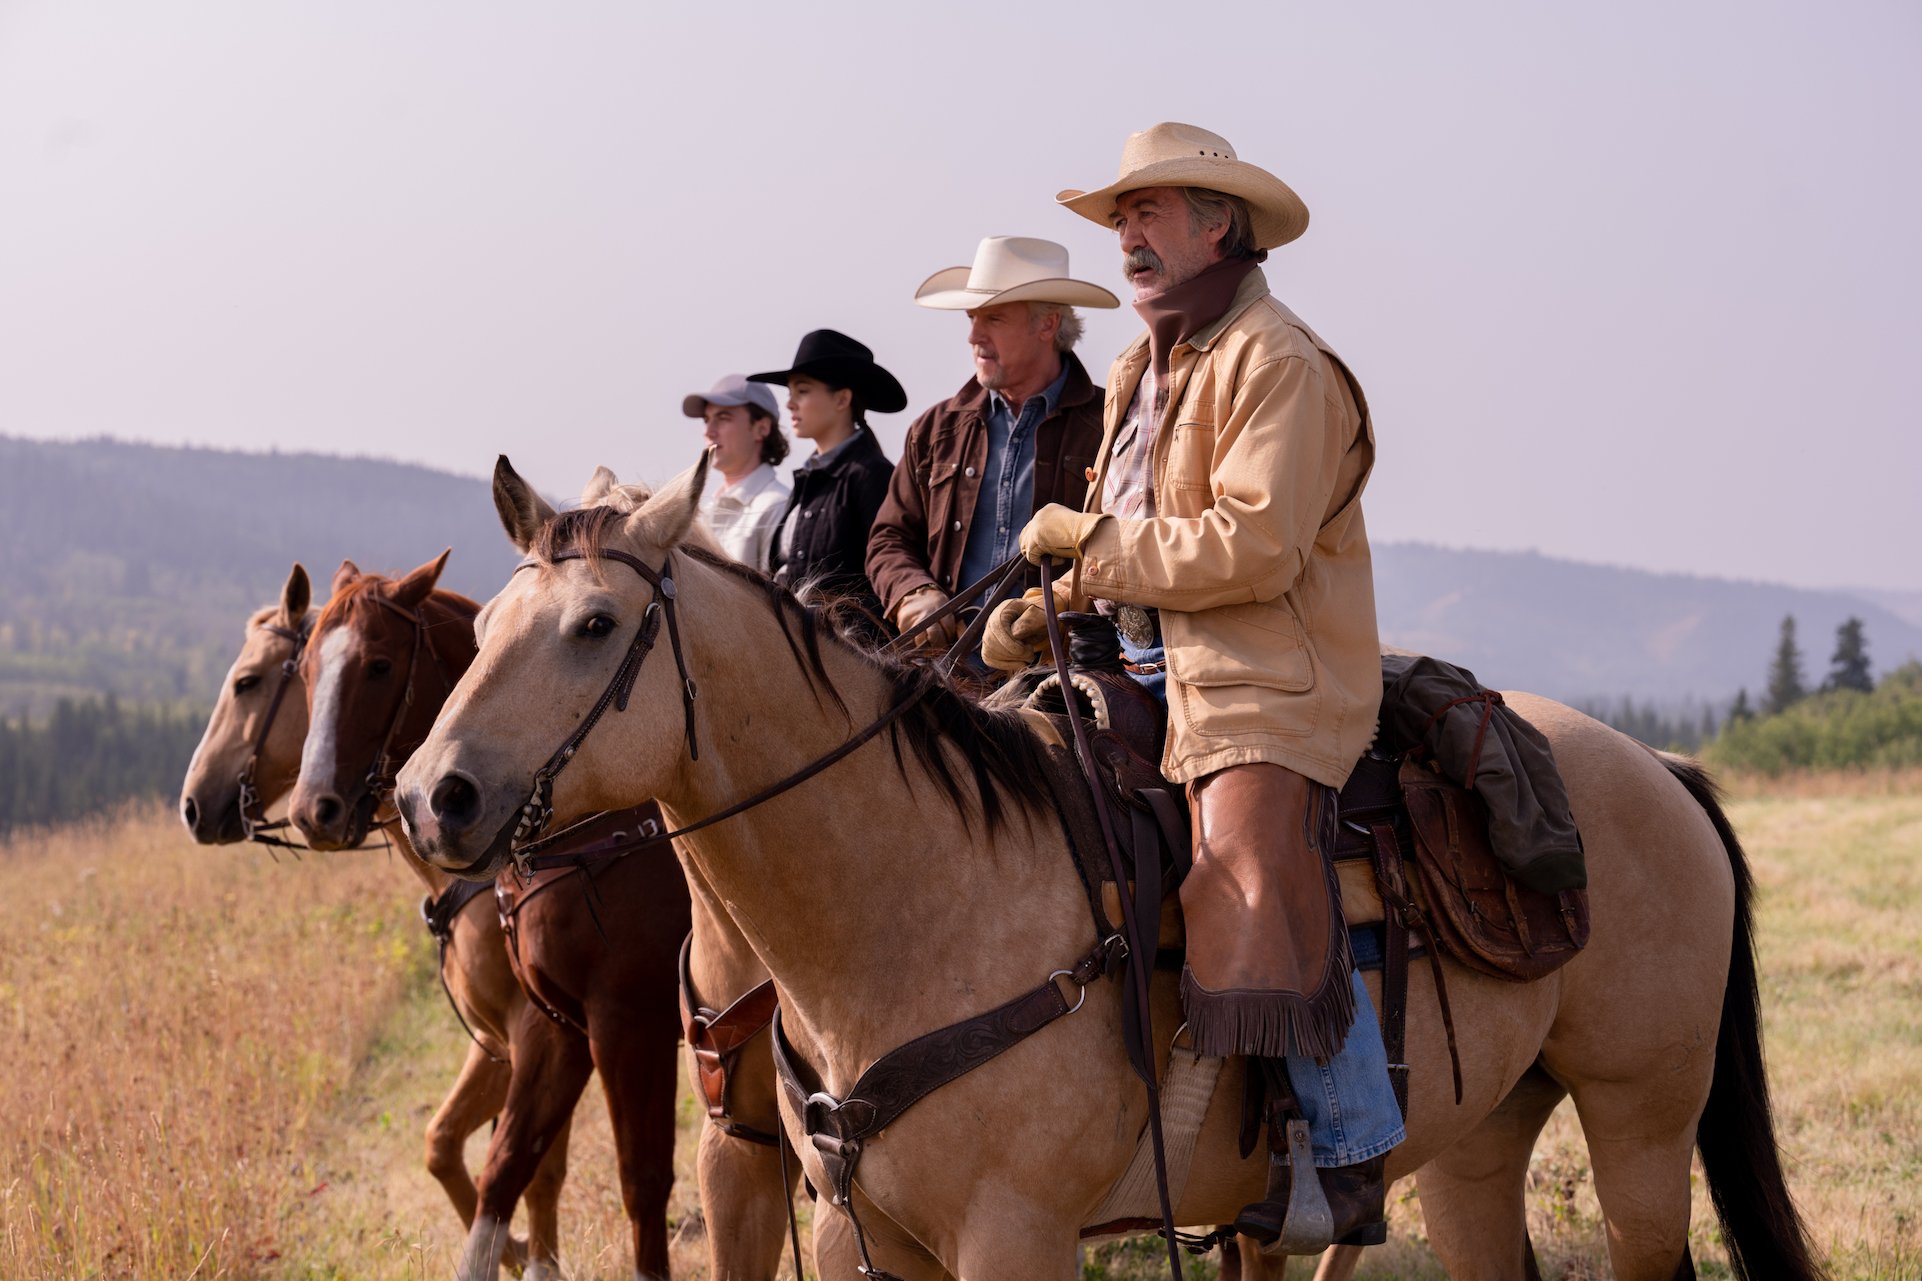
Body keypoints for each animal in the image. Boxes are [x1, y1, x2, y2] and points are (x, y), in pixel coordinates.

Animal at [394, 459, 1814, 1277]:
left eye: (592, 626)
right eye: (492, 621)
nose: (427, 797)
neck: (907, 908)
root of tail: (1662, 775)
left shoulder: (1012, 1239)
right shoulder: (860, 1233)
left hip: (1640, 1124)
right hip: (1482, 1138)